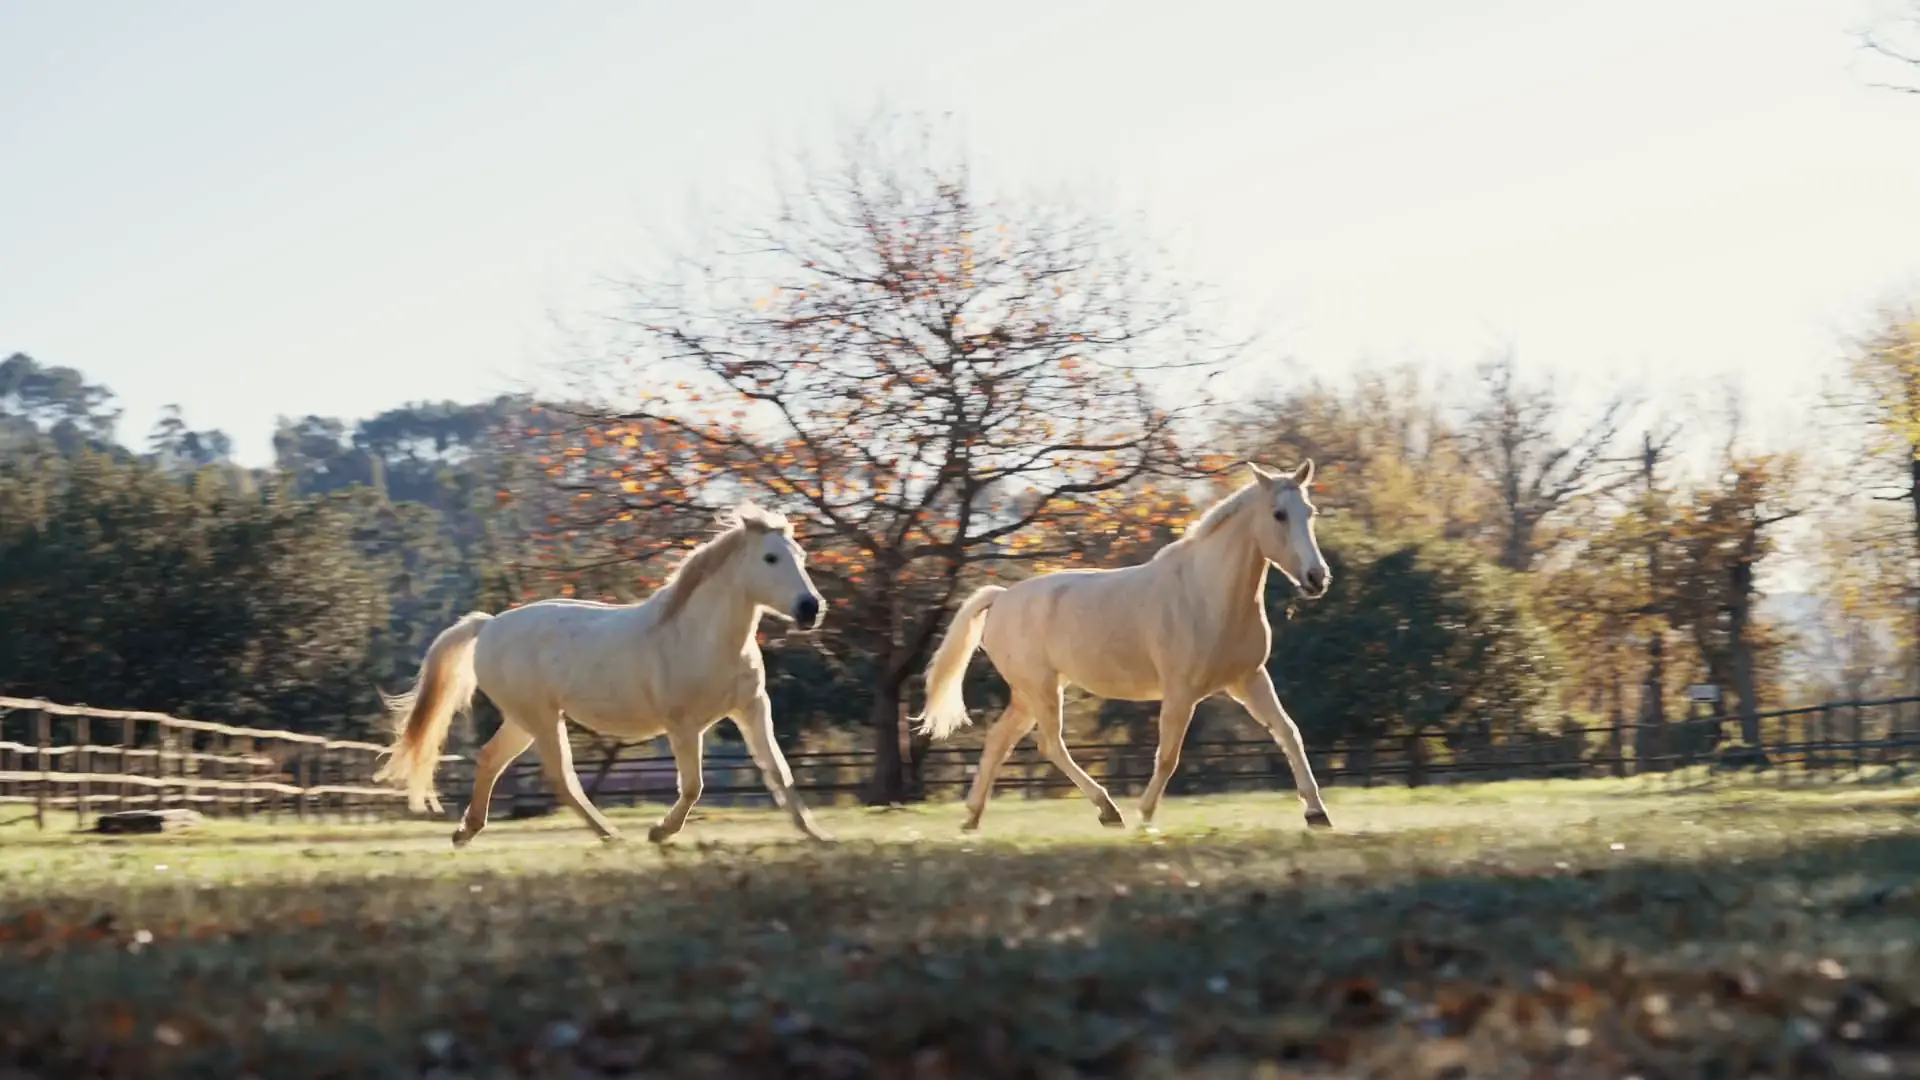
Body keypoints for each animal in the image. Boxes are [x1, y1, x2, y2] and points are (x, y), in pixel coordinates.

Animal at [372, 503, 832, 847]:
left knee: (490, 759)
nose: (811, 609)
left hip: (523, 719)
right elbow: (693, 786)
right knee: (562, 776)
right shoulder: (683, 726)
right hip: (540, 718)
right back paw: (609, 833)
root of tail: (488, 626)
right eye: (770, 558)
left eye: (801, 556)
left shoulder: (751, 709)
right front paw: (659, 832)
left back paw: (466, 831)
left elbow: (779, 771)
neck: (701, 637)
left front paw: (817, 834)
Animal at [913, 461, 1335, 833]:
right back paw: (1108, 810)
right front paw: (1144, 815)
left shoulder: (1248, 680)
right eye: (1279, 514)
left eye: (1309, 512)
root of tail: (1001, 598)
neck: (1206, 594)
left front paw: (1317, 814)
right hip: (1042, 690)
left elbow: (1288, 733)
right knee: (1050, 745)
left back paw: (972, 817)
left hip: (1029, 695)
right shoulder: (1181, 692)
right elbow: (1168, 756)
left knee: (1000, 741)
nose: (1317, 578)